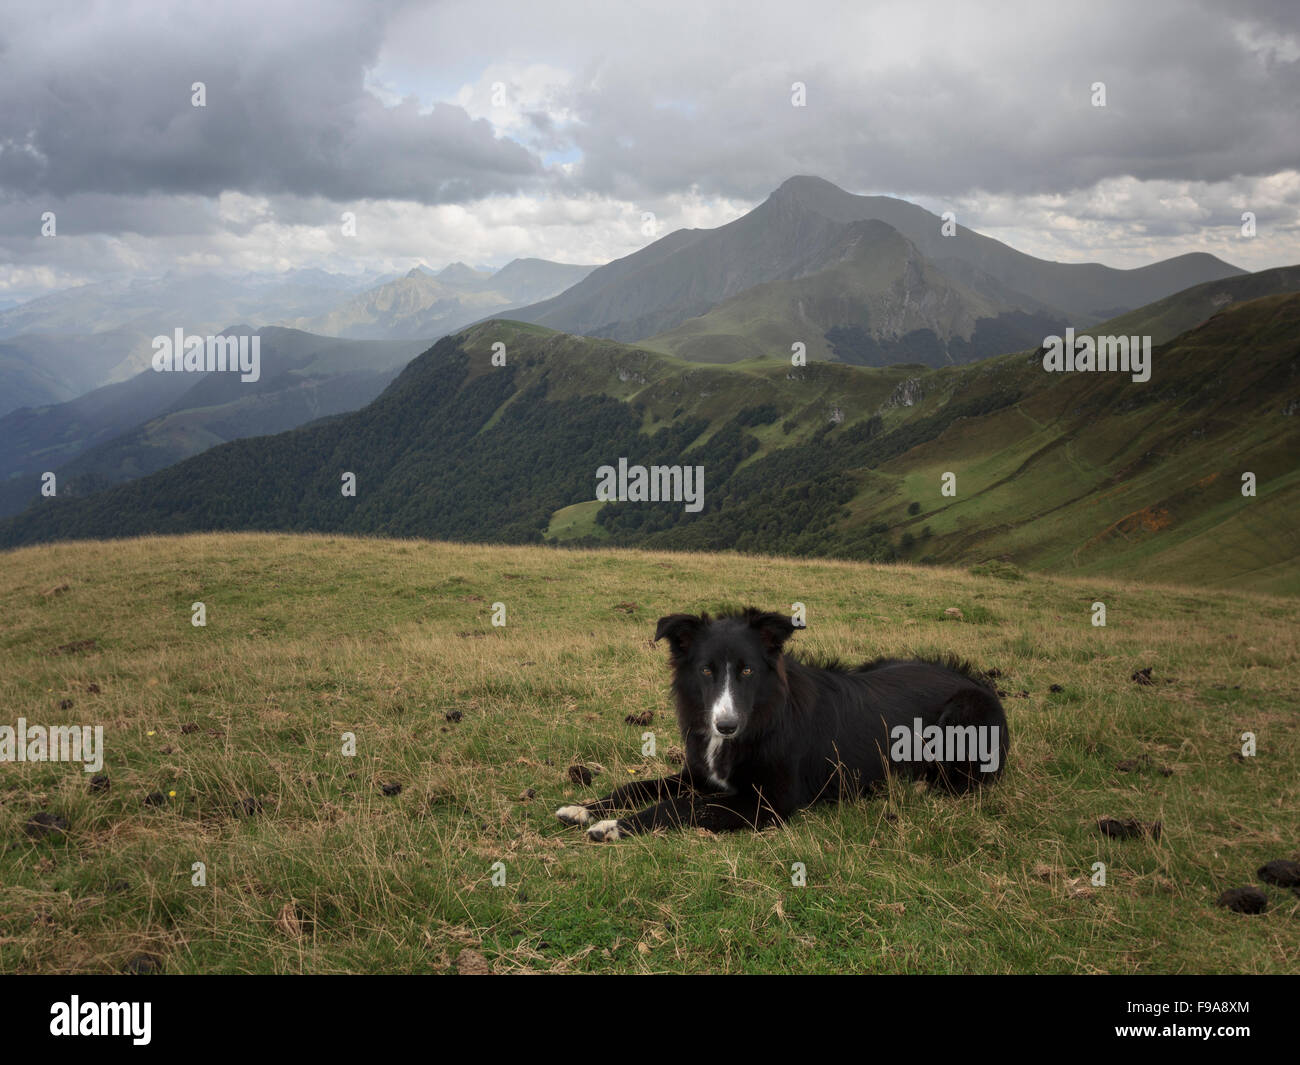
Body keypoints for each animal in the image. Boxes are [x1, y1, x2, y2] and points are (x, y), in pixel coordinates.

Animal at [553, 608, 1008, 842]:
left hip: (964, 714)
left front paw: (613, 826)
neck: (761, 718)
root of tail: (977, 681)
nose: (726, 726)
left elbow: (681, 806)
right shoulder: (700, 775)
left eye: (748, 671)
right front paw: (584, 808)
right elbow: (637, 788)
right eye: (706, 671)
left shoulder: (767, 803)